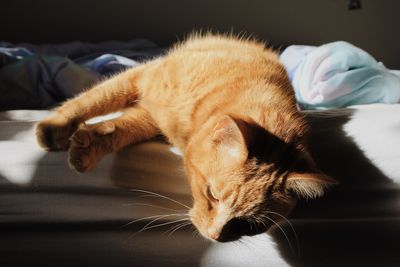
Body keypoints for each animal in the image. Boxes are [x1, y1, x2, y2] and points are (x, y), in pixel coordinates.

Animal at [35, 34, 334, 243]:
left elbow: (119, 128)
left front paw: (88, 143)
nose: (215, 237)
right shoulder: (143, 77)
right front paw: (55, 127)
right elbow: (95, 99)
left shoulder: (149, 117)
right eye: (212, 194)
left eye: (251, 224)